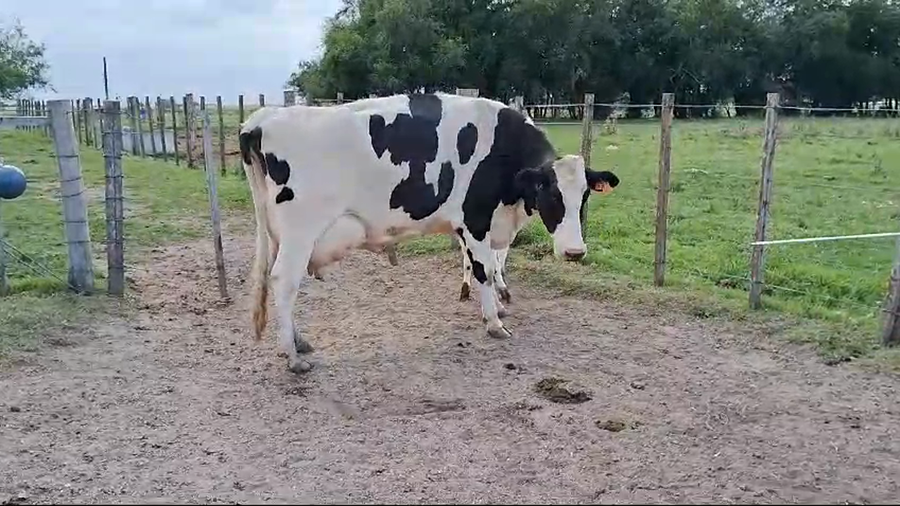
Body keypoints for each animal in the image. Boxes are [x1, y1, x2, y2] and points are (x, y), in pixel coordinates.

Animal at [239, 92, 619, 374]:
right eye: (549, 193)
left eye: (584, 196)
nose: (575, 252)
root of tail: (263, 119)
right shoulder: (475, 219)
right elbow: (484, 270)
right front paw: (494, 322)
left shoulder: (472, 228)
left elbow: (488, 266)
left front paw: (497, 307)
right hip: (301, 231)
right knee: (284, 281)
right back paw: (293, 356)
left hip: (281, 235)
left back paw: (299, 341)